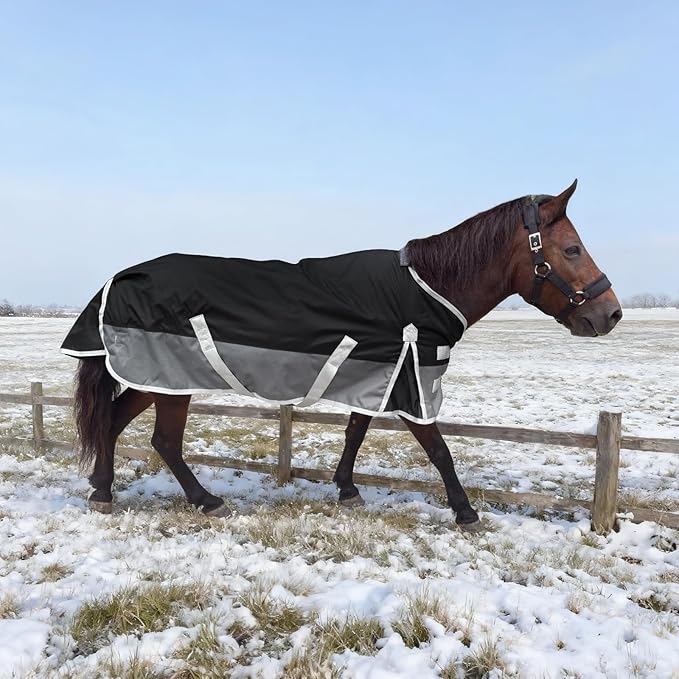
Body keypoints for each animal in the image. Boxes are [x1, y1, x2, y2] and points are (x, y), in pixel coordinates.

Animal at [63, 180, 621, 528]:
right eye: (571, 249)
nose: (611, 314)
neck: (425, 290)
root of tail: (121, 277)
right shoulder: (412, 385)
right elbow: (439, 449)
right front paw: (465, 512)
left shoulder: (379, 373)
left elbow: (356, 432)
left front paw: (347, 490)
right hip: (169, 381)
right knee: (163, 441)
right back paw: (204, 501)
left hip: (153, 378)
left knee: (114, 423)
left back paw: (103, 491)